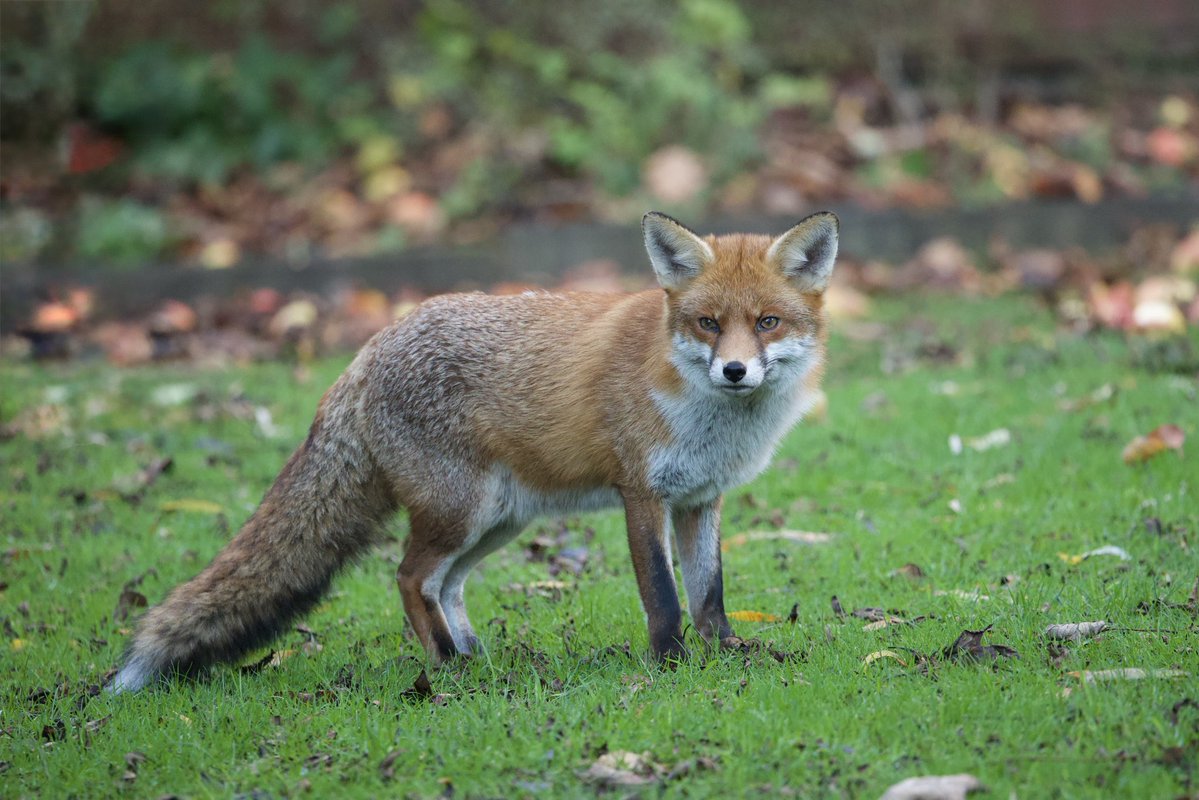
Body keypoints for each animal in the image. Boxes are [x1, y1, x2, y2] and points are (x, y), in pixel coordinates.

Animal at [108, 210, 840, 693]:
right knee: (408, 576)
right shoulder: (642, 494)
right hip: (462, 511)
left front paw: (728, 654)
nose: (735, 371)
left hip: (497, 520)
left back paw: (476, 655)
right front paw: (671, 667)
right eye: (708, 323)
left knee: (445, 582)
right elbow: (663, 595)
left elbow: (709, 593)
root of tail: (372, 346)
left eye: (767, 322)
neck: (709, 418)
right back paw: (447, 665)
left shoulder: (701, 498)